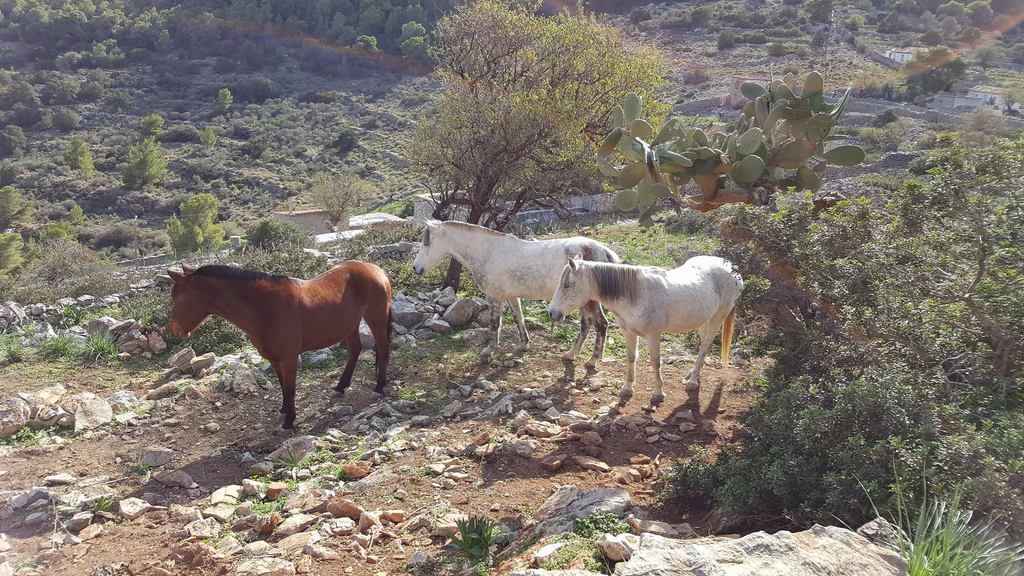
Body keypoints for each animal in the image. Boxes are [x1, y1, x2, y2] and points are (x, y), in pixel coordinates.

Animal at [166, 262, 393, 429]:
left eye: (177, 298)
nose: (175, 330)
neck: (264, 308)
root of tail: (376, 269)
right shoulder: (274, 359)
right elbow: (283, 386)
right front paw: (285, 410)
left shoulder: (289, 357)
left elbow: (291, 388)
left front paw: (289, 421)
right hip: (350, 326)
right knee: (355, 349)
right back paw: (341, 386)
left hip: (375, 318)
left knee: (382, 347)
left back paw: (379, 385)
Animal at [412, 220, 621, 366]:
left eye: (426, 243)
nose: (416, 268)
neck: (487, 251)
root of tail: (604, 251)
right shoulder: (511, 296)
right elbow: (518, 317)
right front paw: (524, 344)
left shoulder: (494, 297)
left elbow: (494, 324)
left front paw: (489, 351)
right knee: (587, 324)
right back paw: (571, 354)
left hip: (588, 300)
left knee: (600, 324)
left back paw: (592, 360)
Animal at [547, 253, 743, 410]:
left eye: (567, 284)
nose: (552, 313)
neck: (635, 294)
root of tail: (731, 268)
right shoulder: (629, 332)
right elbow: (631, 357)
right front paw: (627, 388)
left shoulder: (653, 335)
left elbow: (655, 363)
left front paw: (658, 393)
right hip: (704, 320)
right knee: (703, 345)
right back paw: (692, 374)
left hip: (717, 318)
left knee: (705, 347)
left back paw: (693, 381)